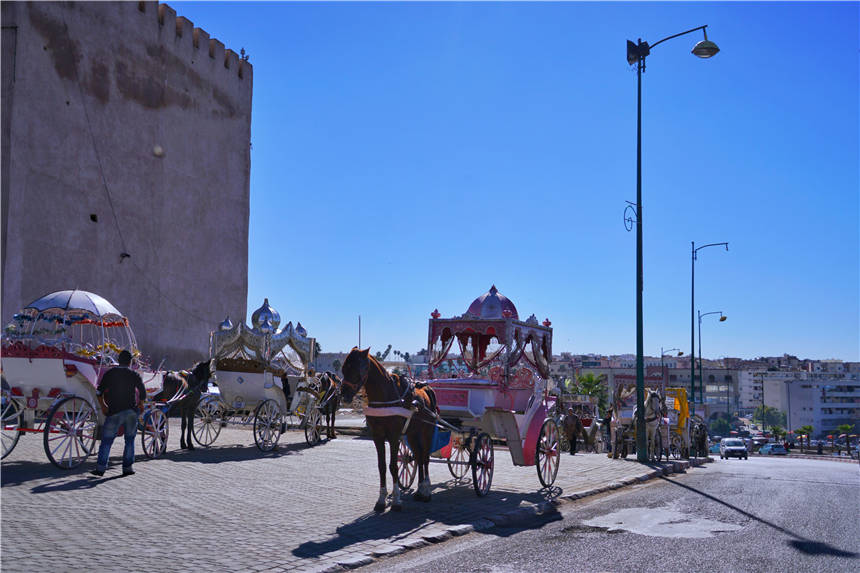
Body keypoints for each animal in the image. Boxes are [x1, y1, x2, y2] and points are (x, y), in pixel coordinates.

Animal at [340, 346, 436, 512]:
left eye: (357, 368)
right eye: (344, 368)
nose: (343, 393)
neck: (385, 398)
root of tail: (427, 388)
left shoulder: (394, 437)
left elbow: (393, 467)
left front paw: (396, 500)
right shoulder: (377, 436)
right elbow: (382, 467)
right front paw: (381, 499)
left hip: (427, 432)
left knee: (425, 457)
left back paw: (426, 491)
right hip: (413, 434)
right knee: (418, 457)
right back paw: (419, 490)